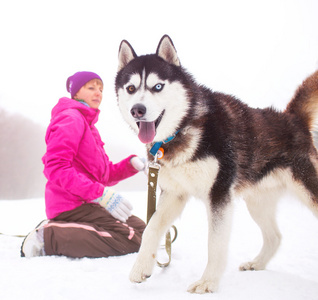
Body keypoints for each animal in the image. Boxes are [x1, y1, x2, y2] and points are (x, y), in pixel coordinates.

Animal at [115, 35, 318, 292]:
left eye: (157, 86)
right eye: (131, 88)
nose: (137, 110)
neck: (183, 128)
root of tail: (292, 118)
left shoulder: (219, 195)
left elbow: (215, 243)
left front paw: (208, 282)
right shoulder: (174, 193)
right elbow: (151, 227)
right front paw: (141, 268)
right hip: (257, 202)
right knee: (275, 237)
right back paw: (257, 263)